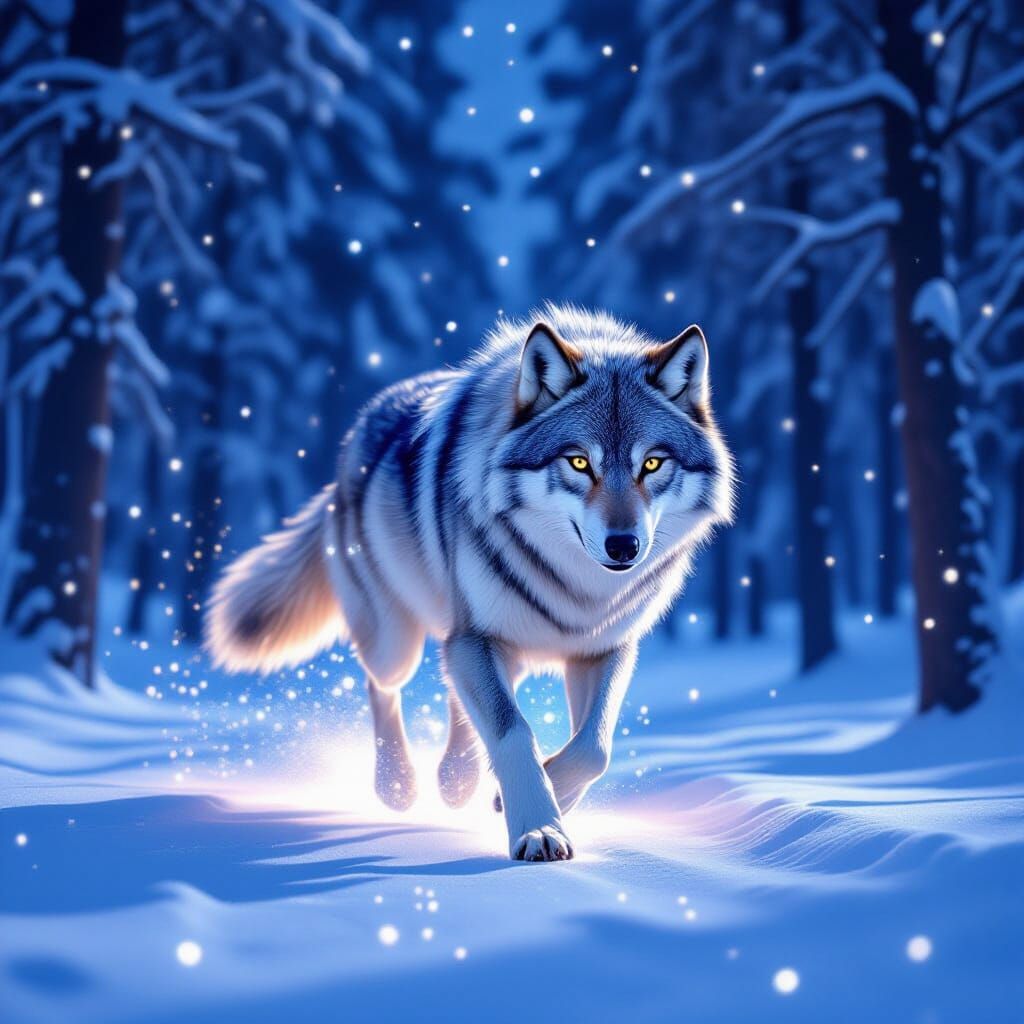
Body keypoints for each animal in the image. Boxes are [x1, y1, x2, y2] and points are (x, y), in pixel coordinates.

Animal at [206, 304, 734, 861]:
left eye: (651, 463)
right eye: (578, 462)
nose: (624, 546)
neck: (578, 589)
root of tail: (353, 439)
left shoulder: (604, 648)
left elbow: (595, 748)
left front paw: (533, 796)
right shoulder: (476, 637)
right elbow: (514, 732)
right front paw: (538, 828)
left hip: (496, 651)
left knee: (458, 699)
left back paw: (456, 780)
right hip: (400, 644)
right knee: (385, 685)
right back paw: (398, 784)